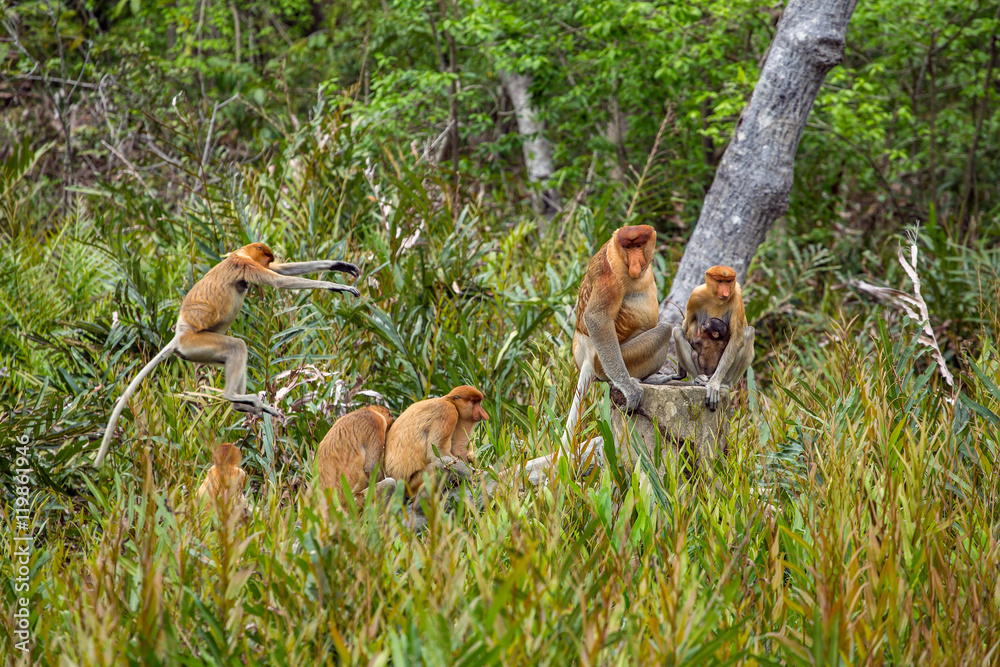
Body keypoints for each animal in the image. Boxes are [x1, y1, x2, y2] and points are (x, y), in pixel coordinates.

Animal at [95, 242, 360, 467]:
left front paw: (339, 266)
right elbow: (278, 280)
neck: (238, 253)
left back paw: (243, 405)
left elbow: (283, 271)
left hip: (197, 352)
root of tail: (179, 336)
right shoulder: (244, 265)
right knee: (237, 347)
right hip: (197, 344)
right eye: (266, 256)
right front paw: (337, 285)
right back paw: (237, 398)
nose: (269, 261)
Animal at [564, 224, 672, 445]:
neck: (617, 251)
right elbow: (597, 318)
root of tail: (586, 357)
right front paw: (630, 390)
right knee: (665, 329)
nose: (635, 264)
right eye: (628, 247)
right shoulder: (611, 272)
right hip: (616, 360)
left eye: (639, 246)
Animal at [647, 265, 755, 411]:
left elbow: (737, 339)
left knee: (749, 332)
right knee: (677, 331)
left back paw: (724, 383)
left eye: (728, 282)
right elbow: (685, 326)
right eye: (720, 281)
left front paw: (714, 385)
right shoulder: (695, 295)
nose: (726, 293)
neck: (716, 299)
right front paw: (679, 375)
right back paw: (698, 379)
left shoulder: (737, 296)